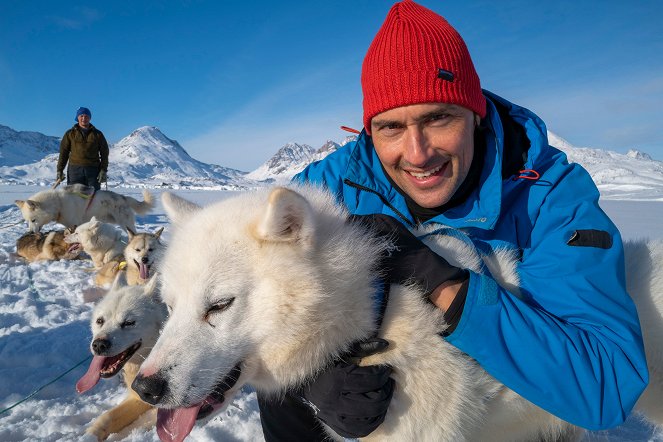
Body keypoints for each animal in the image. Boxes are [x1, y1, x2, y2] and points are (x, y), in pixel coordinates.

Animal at [76, 274, 167, 440]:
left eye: (129, 323)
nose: (98, 345)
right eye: (100, 321)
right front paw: (90, 435)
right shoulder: (137, 397)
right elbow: (107, 417)